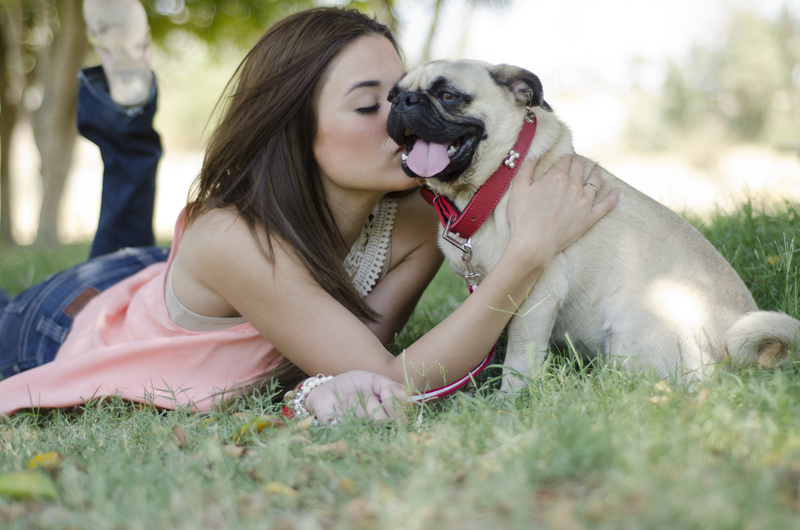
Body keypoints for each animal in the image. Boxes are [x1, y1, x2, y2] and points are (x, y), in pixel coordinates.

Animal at [384, 59, 796, 390]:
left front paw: (509, 401)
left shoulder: (536, 294)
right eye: (392, 96)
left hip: (631, 323)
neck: (495, 181)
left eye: (448, 95)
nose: (404, 103)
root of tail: (740, 358)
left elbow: (519, 356)